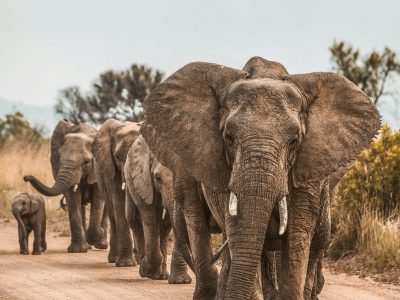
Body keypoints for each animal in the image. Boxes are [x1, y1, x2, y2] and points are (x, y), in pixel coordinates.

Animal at [23, 119, 106, 253]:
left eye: (86, 162)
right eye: (59, 156)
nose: (26, 177)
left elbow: (98, 200)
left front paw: (95, 237)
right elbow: (73, 199)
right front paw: (78, 250)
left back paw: (102, 244)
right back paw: (88, 245)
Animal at [91, 118, 141, 266]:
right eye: (118, 157)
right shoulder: (109, 167)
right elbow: (118, 201)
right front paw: (126, 264)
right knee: (113, 213)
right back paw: (114, 258)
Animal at [125, 136, 194, 284]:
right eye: (157, 178)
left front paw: (180, 282)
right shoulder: (143, 181)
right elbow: (149, 217)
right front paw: (146, 271)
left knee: (164, 227)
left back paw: (161, 276)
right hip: (129, 180)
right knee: (133, 218)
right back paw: (144, 267)